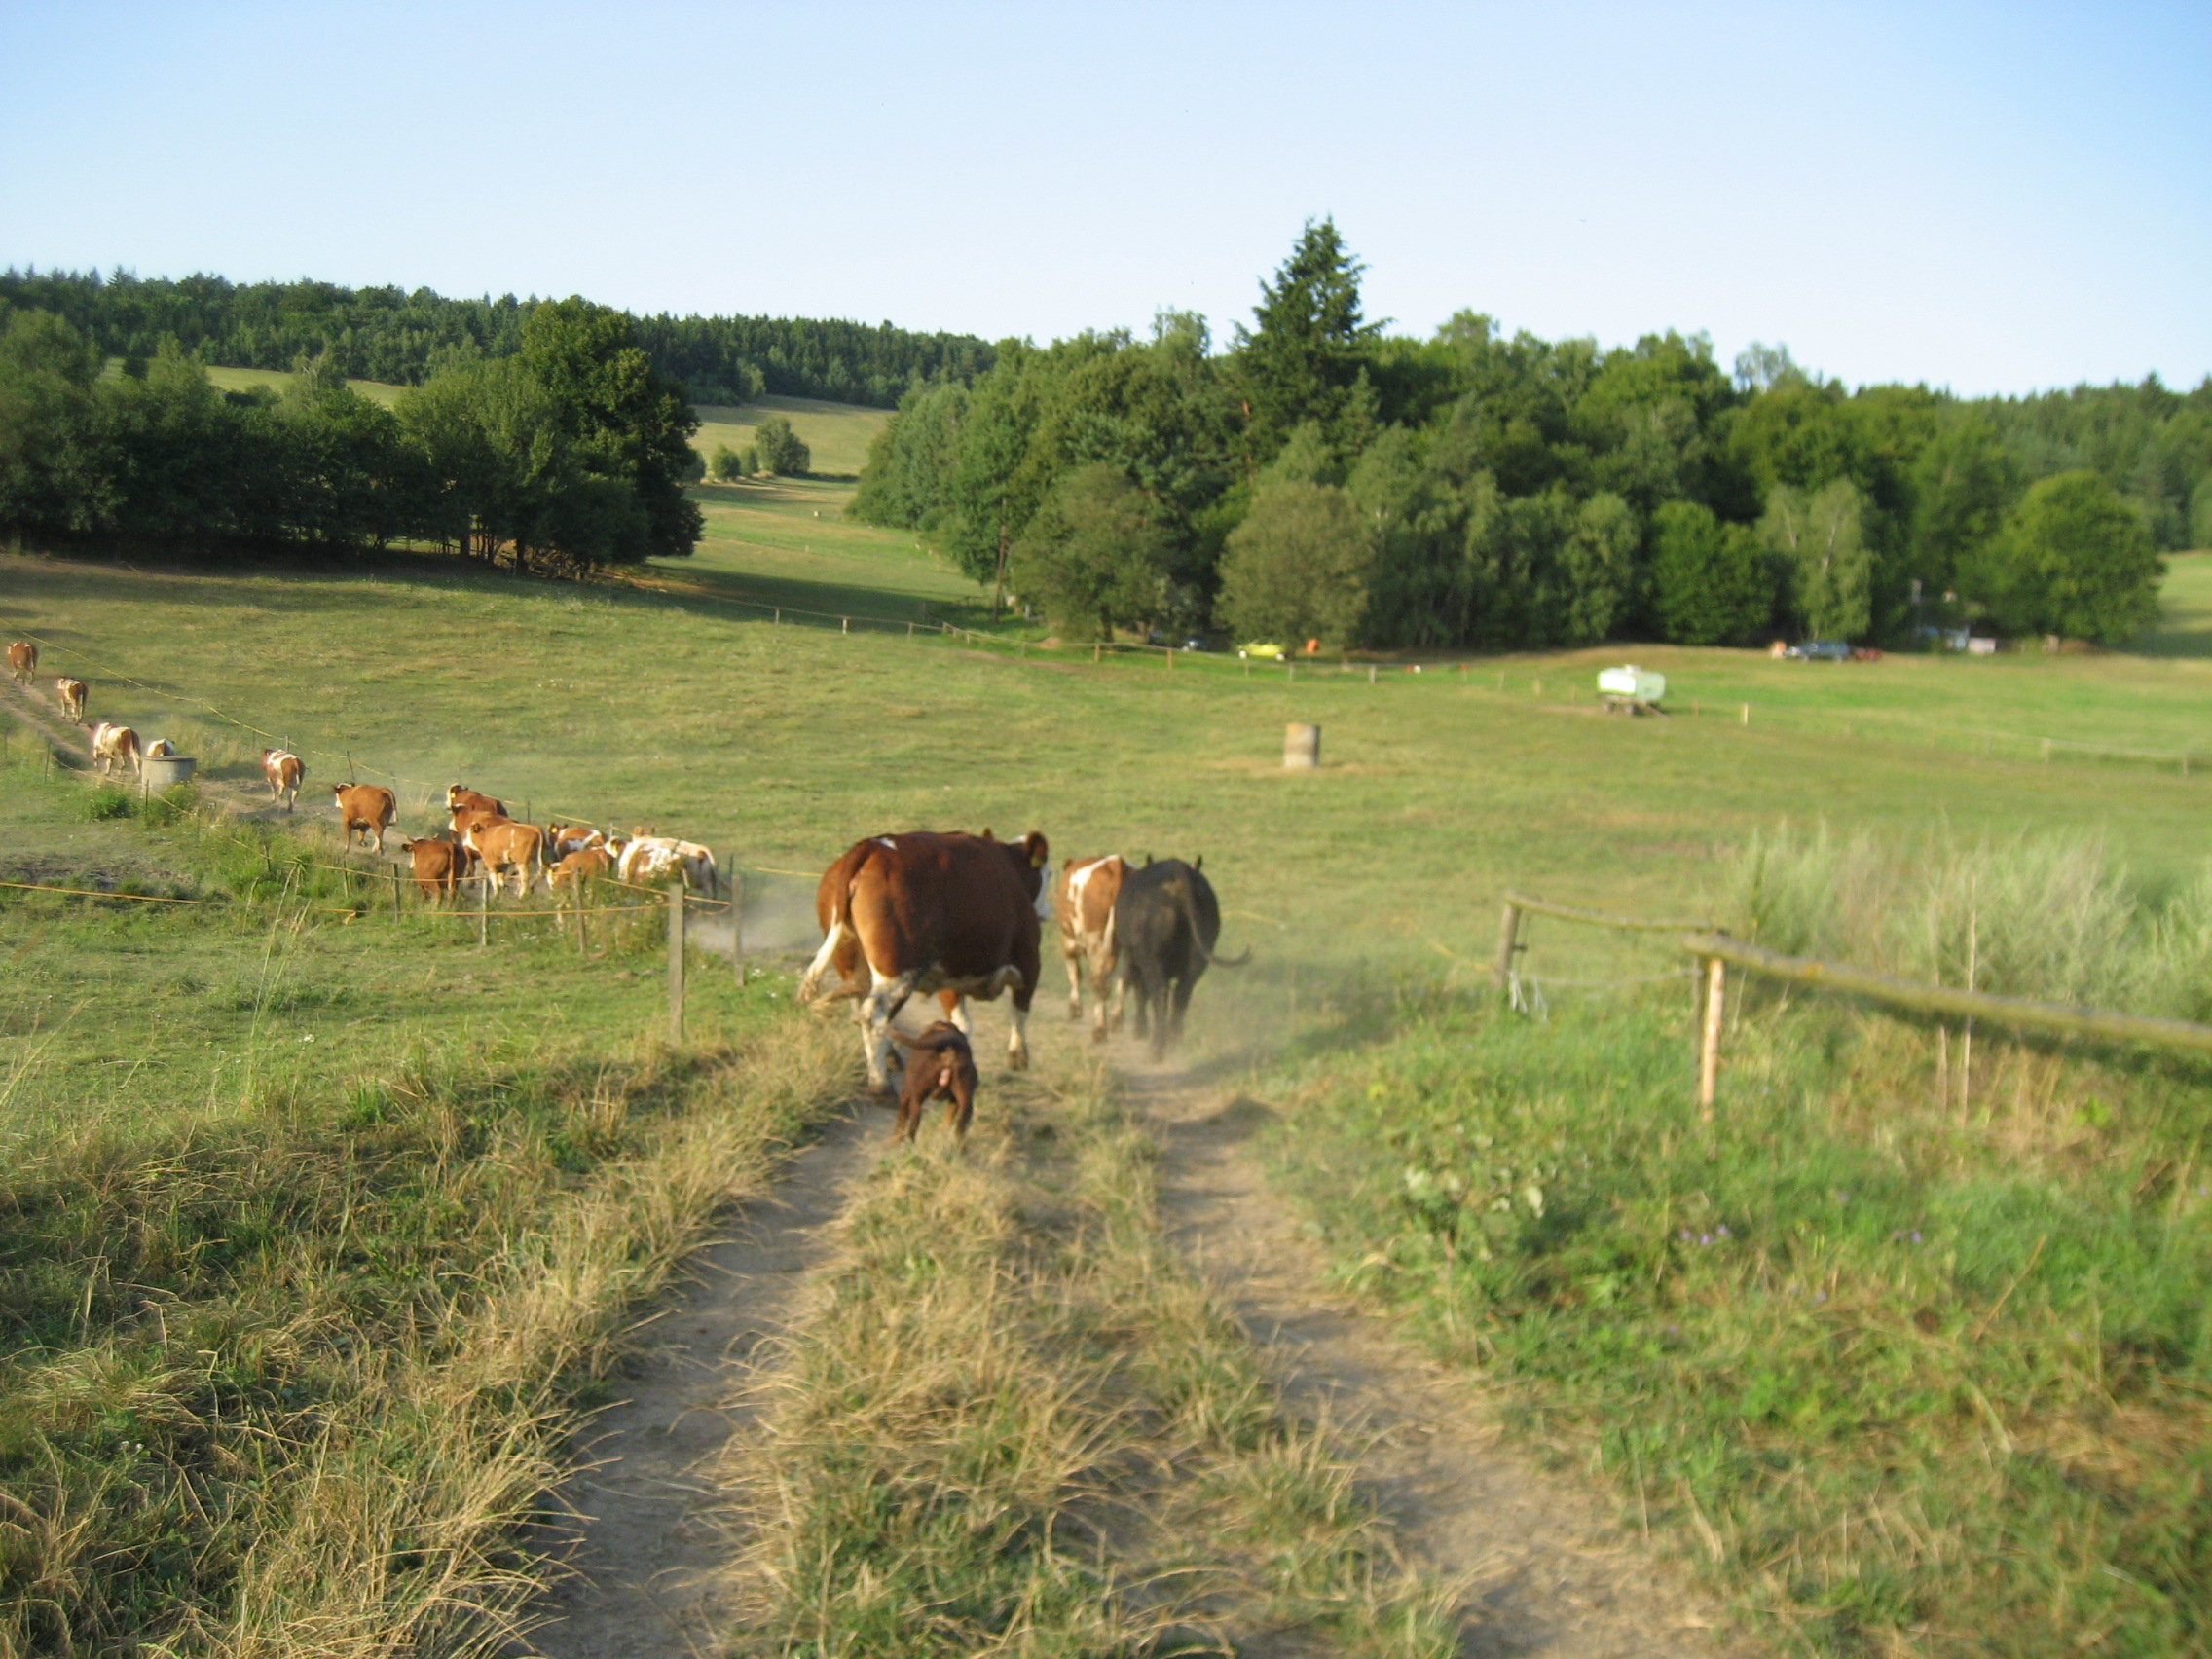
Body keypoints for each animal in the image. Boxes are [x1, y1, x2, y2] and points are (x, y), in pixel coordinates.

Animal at [805, 827, 1052, 1092]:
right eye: (1049, 873)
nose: (1048, 911)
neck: (1010, 868)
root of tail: (873, 847)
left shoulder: (949, 971)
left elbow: (961, 1024)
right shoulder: (1029, 962)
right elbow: (1019, 1012)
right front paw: (1018, 1057)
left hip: (853, 965)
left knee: (859, 1007)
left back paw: (888, 1060)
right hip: (898, 972)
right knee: (873, 1016)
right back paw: (880, 1084)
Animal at [884, 1021, 981, 1150]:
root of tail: (950, 1045)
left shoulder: (905, 1095)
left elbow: (901, 1121)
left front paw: (893, 1140)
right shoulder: (954, 1099)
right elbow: (949, 1115)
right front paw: (944, 1129)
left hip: (916, 1096)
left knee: (914, 1121)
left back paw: (908, 1146)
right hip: (965, 1098)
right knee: (961, 1124)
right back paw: (961, 1148)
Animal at [1052, 858, 1124, 1039]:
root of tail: (1115, 863)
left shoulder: (1068, 941)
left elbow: (1075, 974)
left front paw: (1075, 1008)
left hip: (1097, 944)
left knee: (1100, 983)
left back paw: (1100, 1029)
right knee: (1123, 981)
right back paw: (1115, 1020)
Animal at [1115, 858, 1256, 1066]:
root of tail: (1177, 869)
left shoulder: (1132, 957)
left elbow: (1139, 991)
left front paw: (1139, 1030)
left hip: (1151, 959)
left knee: (1159, 994)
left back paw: (1156, 1049)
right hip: (1197, 959)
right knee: (1182, 994)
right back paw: (1174, 1042)